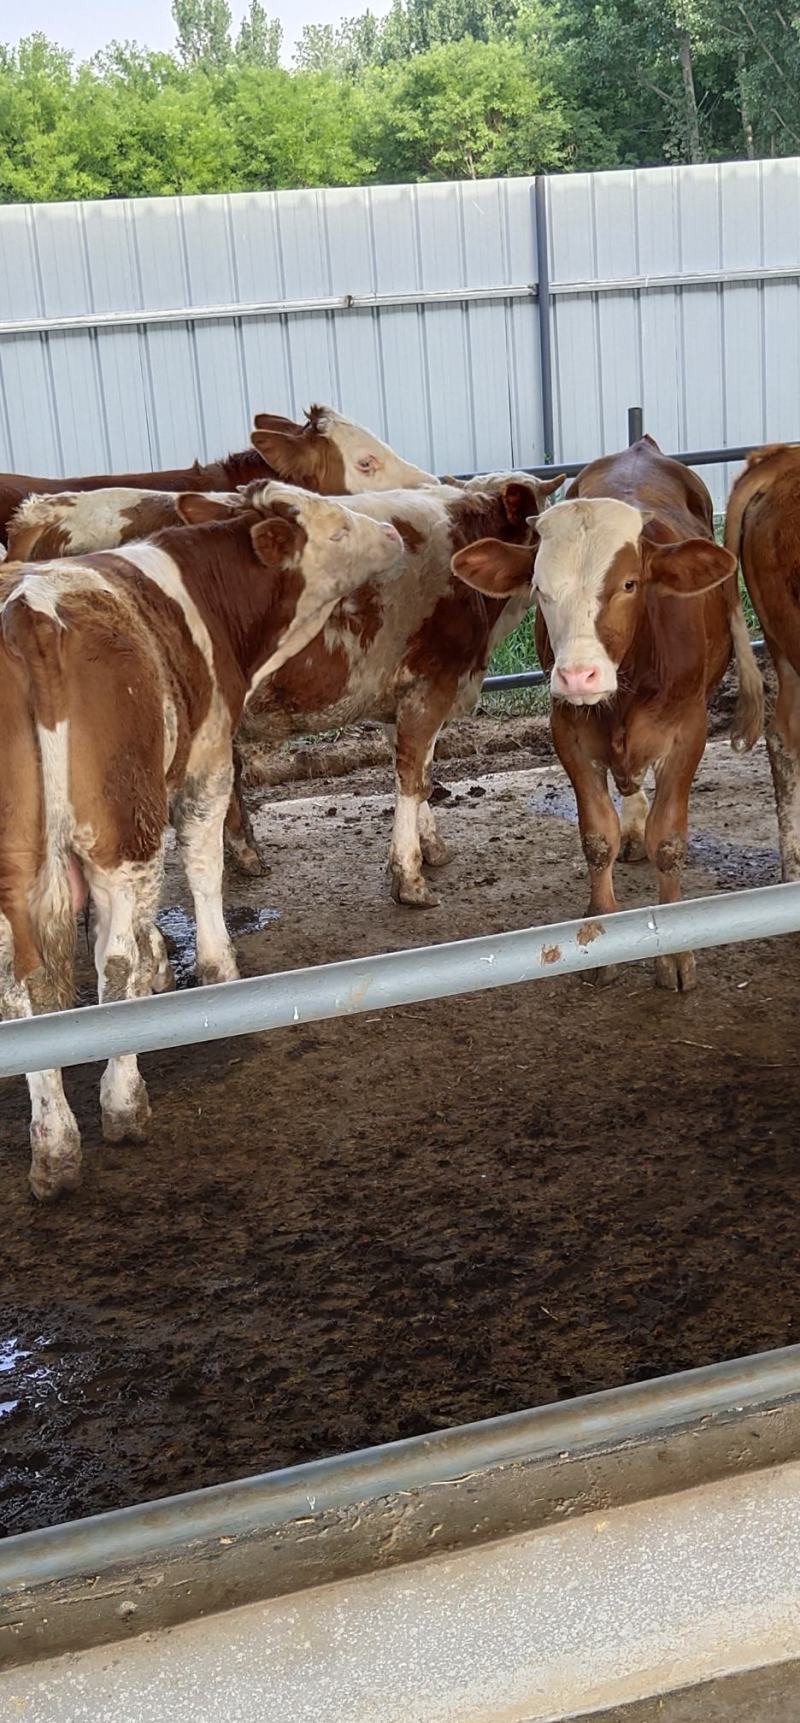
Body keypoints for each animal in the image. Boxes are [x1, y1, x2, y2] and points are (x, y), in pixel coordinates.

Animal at [0, 478, 403, 1199]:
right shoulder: (208, 759)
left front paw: (163, 960)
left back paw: (53, 1146)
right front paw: (216, 966)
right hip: (118, 824)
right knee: (110, 964)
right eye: (333, 525)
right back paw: (122, 1104)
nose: (391, 533)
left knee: (21, 990)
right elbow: (201, 863)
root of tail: (27, 615)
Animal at [234, 472, 565, 902]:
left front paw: (432, 846)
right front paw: (408, 876)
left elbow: (414, 769)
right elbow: (413, 777)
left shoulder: (398, 699)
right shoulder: (431, 685)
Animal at [448, 437, 762, 992]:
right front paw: (602, 937)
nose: (578, 676)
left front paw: (673, 949)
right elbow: (597, 837)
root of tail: (642, 447)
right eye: (539, 587)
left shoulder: (689, 731)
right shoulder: (569, 731)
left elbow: (669, 841)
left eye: (630, 583)